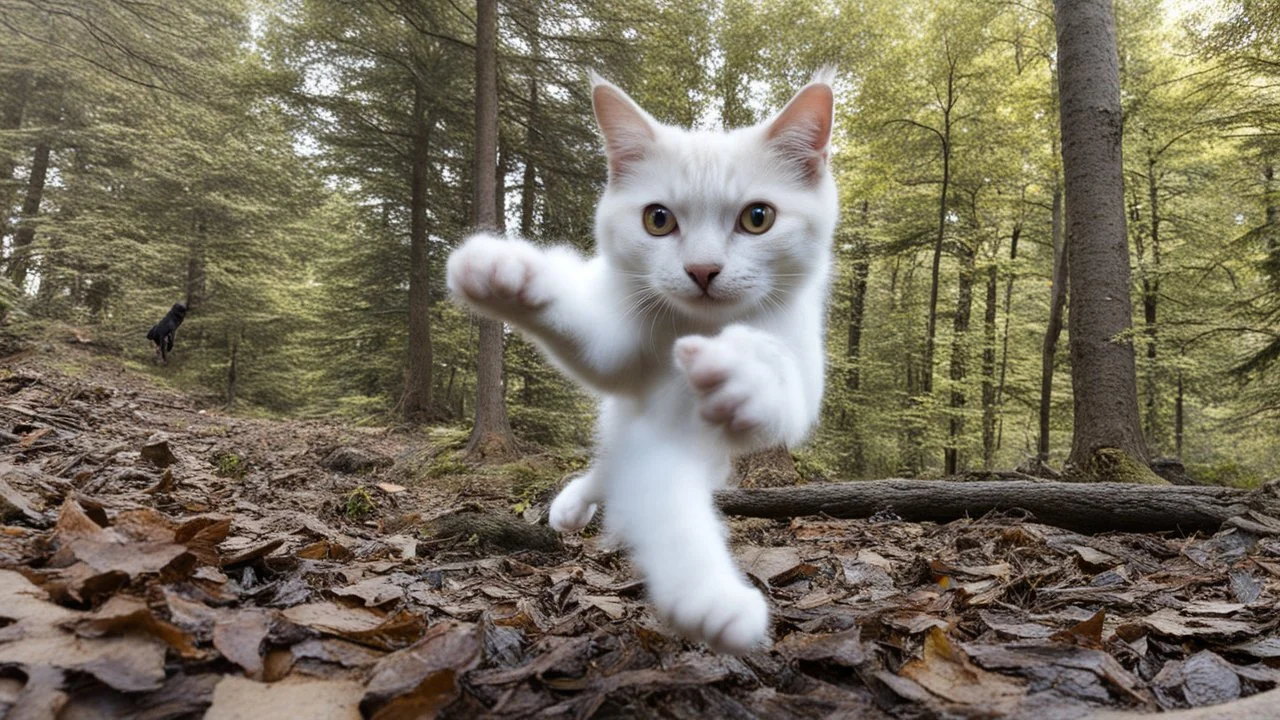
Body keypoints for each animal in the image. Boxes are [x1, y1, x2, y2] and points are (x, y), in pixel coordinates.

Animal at [445, 71, 834, 650]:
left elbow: (776, 384)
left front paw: (744, 376)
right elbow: (593, 341)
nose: (702, 270)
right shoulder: (622, 352)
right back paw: (574, 505)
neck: (694, 331)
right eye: (658, 220)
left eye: (757, 217)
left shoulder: (799, 373)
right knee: (617, 463)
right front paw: (507, 275)